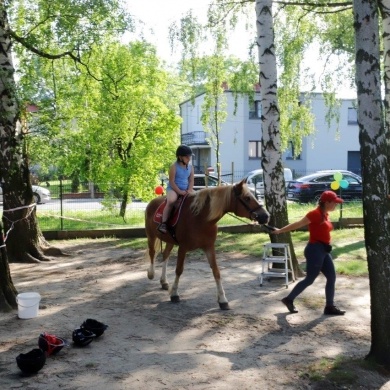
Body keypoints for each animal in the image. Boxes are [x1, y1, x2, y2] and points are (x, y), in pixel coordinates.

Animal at [145, 180, 270, 310]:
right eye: (247, 198)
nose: (266, 216)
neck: (201, 218)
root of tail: (153, 202)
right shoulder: (183, 248)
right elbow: (179, 270)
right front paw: (174, 294)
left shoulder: (209, 247)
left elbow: (216, 271)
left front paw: (222, 300)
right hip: (151, 235)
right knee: (152, 253)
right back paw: (151, 273)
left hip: (170, 241)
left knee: (165, 255)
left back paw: (164, 281)